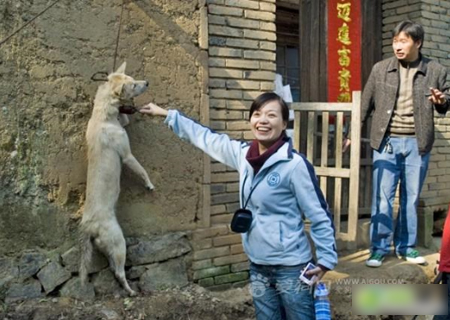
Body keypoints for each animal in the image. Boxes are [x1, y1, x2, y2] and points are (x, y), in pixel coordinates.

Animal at [78, 62, 153, 296]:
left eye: (134, 78)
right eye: (133, 85)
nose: (147, 82)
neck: (104, 116)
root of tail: (89, 226)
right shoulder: (127, 155)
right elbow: (141, 170)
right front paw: (149, 184)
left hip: (110, 248)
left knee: (114, 270)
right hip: (119, 243)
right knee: (119, 272)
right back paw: (131, 291)